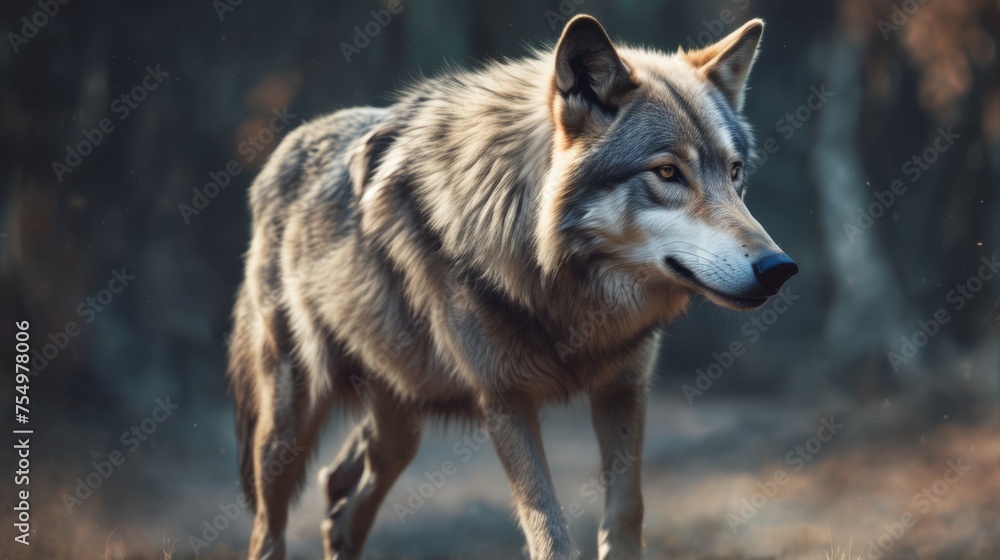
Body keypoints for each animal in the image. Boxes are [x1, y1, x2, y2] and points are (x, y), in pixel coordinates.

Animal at [227, 14, 797, 560]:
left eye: (735, 172)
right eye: (667, 172)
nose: (779, 267)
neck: (559, 284)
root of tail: (280, 152)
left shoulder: (624, 386)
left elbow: (626, 514)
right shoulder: (504, 399)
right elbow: (549, 535)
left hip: (402, 417)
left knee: (342, 499)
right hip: (290, 425)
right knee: (269, 532)